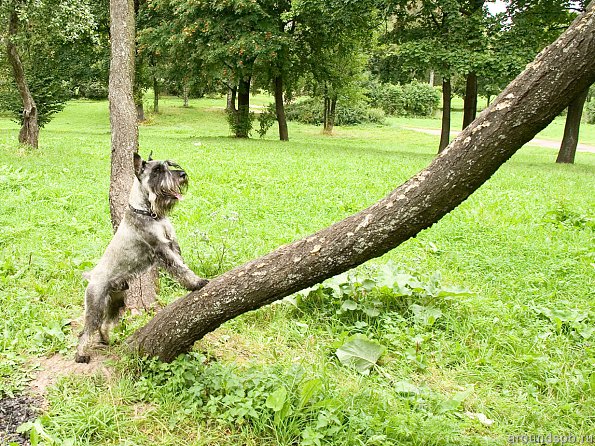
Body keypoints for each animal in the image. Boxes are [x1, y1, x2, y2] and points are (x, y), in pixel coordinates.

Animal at [75, 153, 208, 362]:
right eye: (157, 170)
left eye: (169, 164)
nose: (182, 175)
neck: (149, 212)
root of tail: (92, 277)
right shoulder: (161, 249)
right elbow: (179, 268)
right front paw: (196, 283)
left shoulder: (173, 244)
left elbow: (182, 265)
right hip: (96, 305)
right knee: (86, 331)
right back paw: (81, 355)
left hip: (116, 301)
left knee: (105, 324)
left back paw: (107, 340)